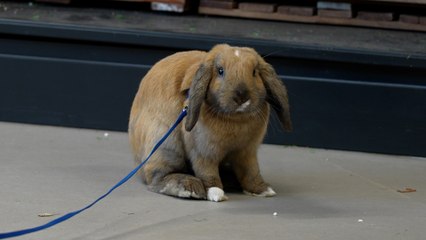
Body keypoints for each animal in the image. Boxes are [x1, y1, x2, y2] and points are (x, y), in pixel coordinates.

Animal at [128, 43, 292, 201]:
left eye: (254, 72)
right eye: (220, 71)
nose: (241, 96)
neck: (236, 119)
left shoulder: (248, 152)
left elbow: (251, 171)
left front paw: (263, 190)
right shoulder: (203, 151)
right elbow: (207, 172)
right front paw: (215, 193)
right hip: (164, 144)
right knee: (158, 178)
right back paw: (189, 187)